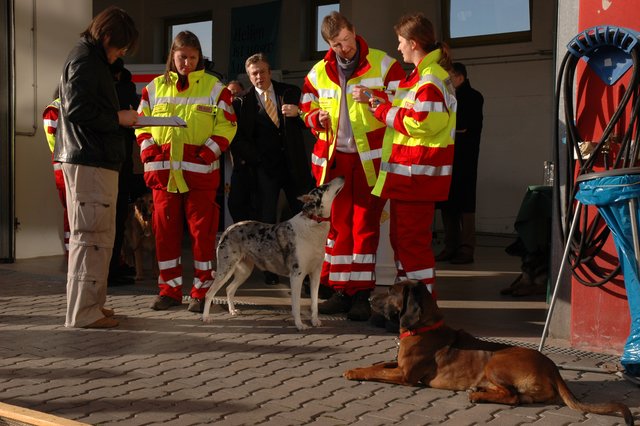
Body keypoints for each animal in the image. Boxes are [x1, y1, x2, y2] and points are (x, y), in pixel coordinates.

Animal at [204, 176, 344, 330]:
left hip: (244, 271)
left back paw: (232, 310)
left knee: (229, 289)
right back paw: (205, 318)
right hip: (226, 269)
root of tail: (228, 229)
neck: (314, 224)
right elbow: (296, 306)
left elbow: (314, 304)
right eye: (325, 187)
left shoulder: (315, 274)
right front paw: (299, 325)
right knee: (209, 293)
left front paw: (315, 321)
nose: (342, 177)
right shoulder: (297, 276)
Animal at [342, 282, 632, 424]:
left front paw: (353, 371)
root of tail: (553, 367)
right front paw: (360, 365)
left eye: (391, 292)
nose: (368, 299)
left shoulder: (405, 375)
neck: (424, 326)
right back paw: (480, 390)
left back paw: (478, 395)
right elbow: (379, 363)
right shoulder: (398, 364)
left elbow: (375, 371)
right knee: (518, 397)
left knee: (513, 397)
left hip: (495, 362)